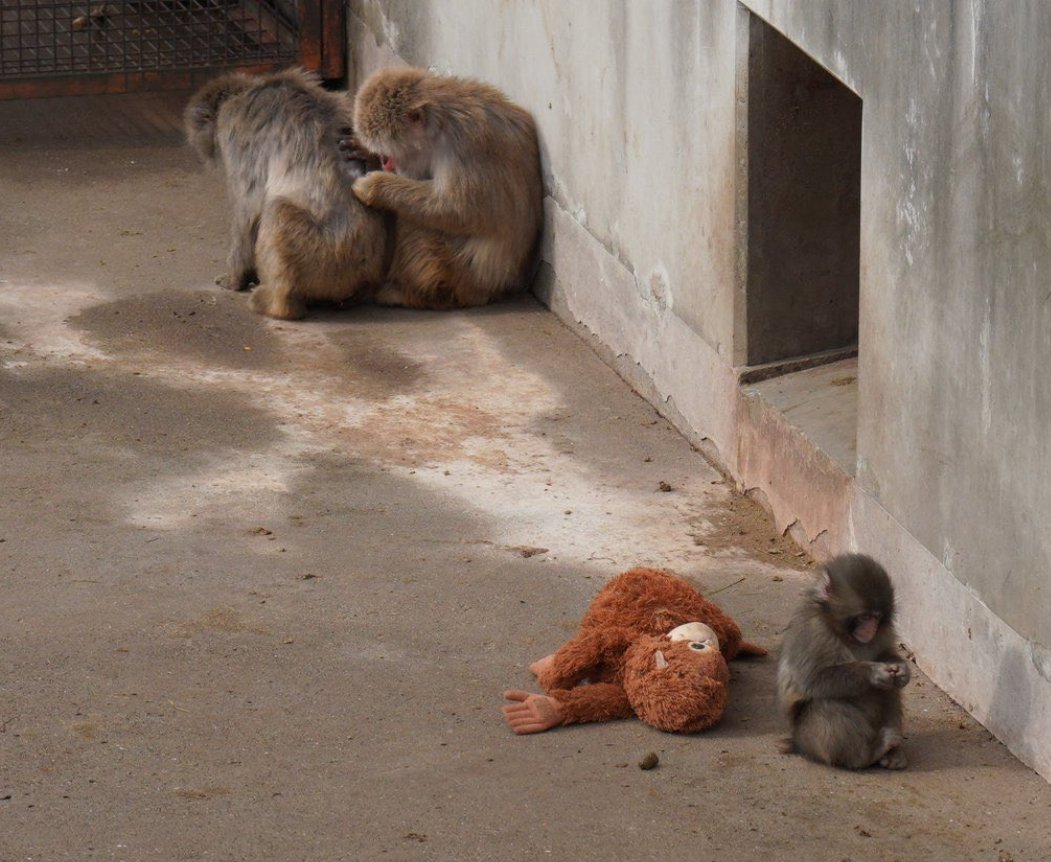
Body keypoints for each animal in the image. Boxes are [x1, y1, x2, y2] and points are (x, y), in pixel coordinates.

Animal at [184, 67, 388, 320]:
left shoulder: (234, 130)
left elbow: (247, 209)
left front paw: (234, 279)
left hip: (323, 257)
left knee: (276, 210)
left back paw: (277, 304)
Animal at [349, 66, 544, 310]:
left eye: (389, 151)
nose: (385, 162)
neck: (442, 124)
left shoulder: (465, 146)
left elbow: (459, 210)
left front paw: (376, 186)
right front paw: (365, 153)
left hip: (451, 272)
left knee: (412, 220)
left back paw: (407, 294)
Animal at [776, 553, 911, 769]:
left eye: (877, 617)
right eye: (864, 617)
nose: (871, 629)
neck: (844, 633)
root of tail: (797, 743)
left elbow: (886, 654)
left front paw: (902, 670)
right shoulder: (813, 632)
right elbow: (812, 680)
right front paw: (874, 673)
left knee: (890, 690)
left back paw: (892, 753)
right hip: (809, 739)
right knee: (827, 703)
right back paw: (867, 754)